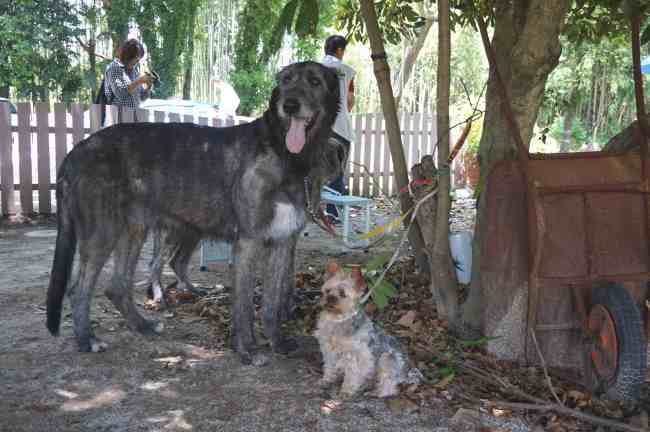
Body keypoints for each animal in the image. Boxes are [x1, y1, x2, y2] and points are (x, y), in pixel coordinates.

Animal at [48, 61, 342, 364]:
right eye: (285, 81)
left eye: (315, 81)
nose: (290, 105)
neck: (285, 153)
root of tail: (74, 152)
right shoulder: (249, 242)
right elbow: (244, 304)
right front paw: (247, 349)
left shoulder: (282, 242)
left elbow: (272, 303)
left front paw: (277, 342)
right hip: (102, 233)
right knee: (78, 290)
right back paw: (87, 340)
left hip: (135, 230)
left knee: (117, 287)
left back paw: (142, 325)